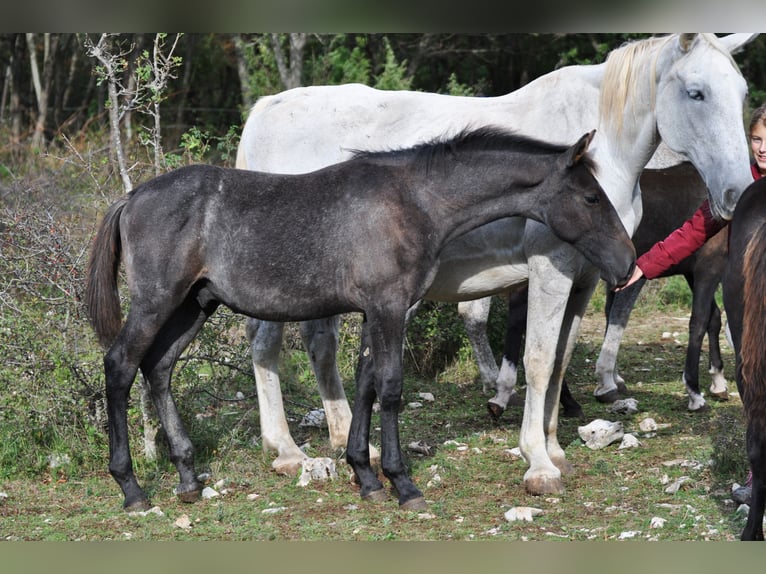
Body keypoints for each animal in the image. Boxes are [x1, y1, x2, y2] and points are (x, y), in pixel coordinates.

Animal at [85, 128, 636, 510]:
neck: (414, 203)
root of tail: (132, 197)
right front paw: (402, 483)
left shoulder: (380, 310)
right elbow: (389, 387)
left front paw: (366, 477)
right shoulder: (390, 306)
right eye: (591, 197)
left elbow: (366, 382)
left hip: (194, 305)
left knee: (158, 368)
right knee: (120, 365)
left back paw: (186, 477)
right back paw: (132, 488)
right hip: (157, 302)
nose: (627, 262)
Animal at [237, 33, 752, 498]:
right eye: (696, 92)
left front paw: (553, 447)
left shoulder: (586, 280)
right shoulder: (550, 272)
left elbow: (562, 358)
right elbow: (538, 360)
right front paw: (538, 462)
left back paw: (343, 436)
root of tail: (265, 109)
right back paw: (286, 450)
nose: (736, 194)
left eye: (743, 92)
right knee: (266, 345)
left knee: (319, 345)